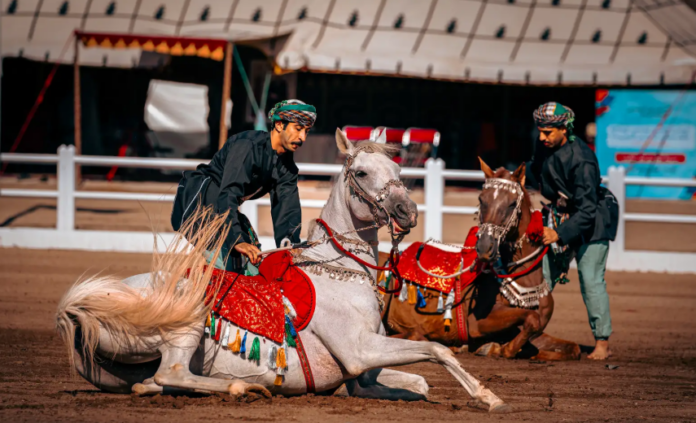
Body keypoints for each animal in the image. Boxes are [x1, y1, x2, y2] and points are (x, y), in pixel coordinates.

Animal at [55, 130, 512, 413]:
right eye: (362, 172)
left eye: (400, 173)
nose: (406, 212)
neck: (339, 272)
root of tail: (79, 310)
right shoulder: (360, 352)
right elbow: (438, 351)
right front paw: (488, 396)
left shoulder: (362, 374)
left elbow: (418, 384)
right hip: (187, 317)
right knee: (172, 372)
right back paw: (245, 387)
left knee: (150, 382)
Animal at [379, 159, 580, 361]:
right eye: (481, 200)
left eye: (512, 203)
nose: (485, 247)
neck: (526, 284)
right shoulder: (478, 322)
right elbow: (531, 320)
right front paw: (496, 349)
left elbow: (571, 347)